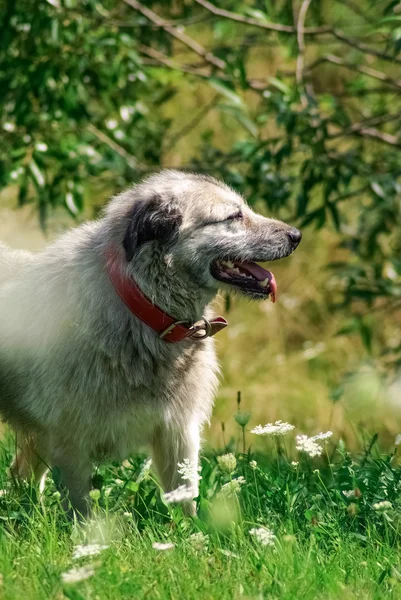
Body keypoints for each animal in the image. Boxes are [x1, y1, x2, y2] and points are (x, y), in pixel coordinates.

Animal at [0, 170, 300, 516]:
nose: (297, 235)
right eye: (233, 216)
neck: (143, 306)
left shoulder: (178, 432)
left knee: (20, 473)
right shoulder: (71, 442)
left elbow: (186, 501)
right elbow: (82, 511)